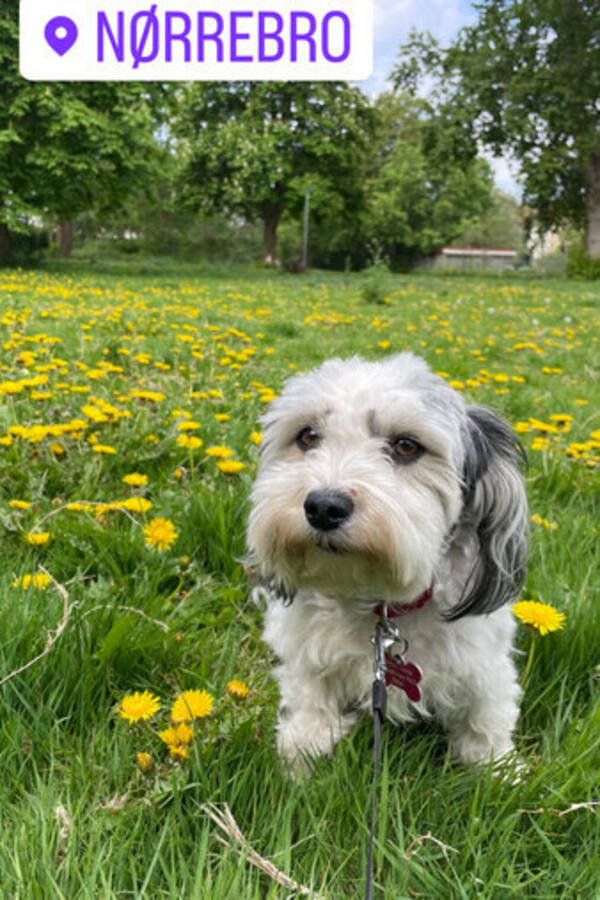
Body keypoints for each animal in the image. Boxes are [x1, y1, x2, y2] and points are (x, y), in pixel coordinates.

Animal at [246, 352, 528, 772]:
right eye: (308, 436)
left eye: (407, 446)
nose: (323, 507)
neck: (380, 604)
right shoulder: (307, 649)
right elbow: (311, 696)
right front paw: (303, 750)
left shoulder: (483, 664)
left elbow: (485, 717)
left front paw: (497, 770)